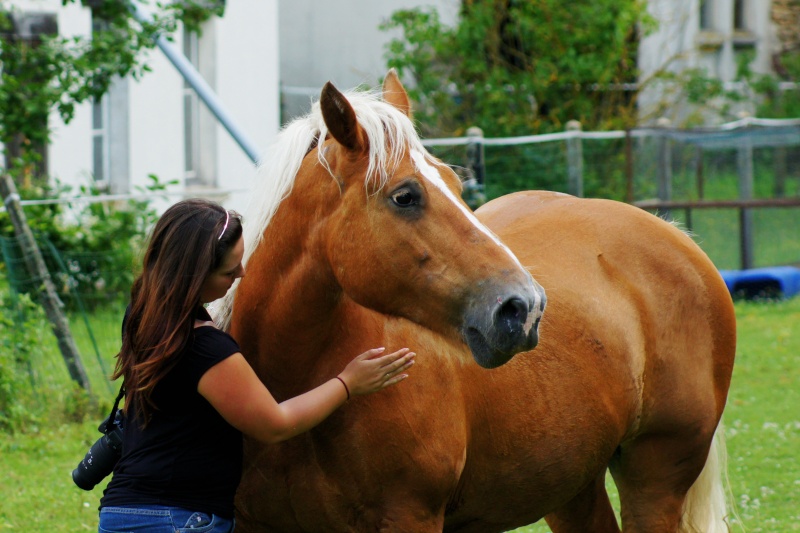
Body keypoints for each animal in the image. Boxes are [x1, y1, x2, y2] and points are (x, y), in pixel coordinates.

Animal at [216, 69, 736, 528]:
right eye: (405, 196)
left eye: (455, 183)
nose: (523, 308)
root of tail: (673, 234)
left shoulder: (410, 516)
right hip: (571, 485)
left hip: (655, 477)